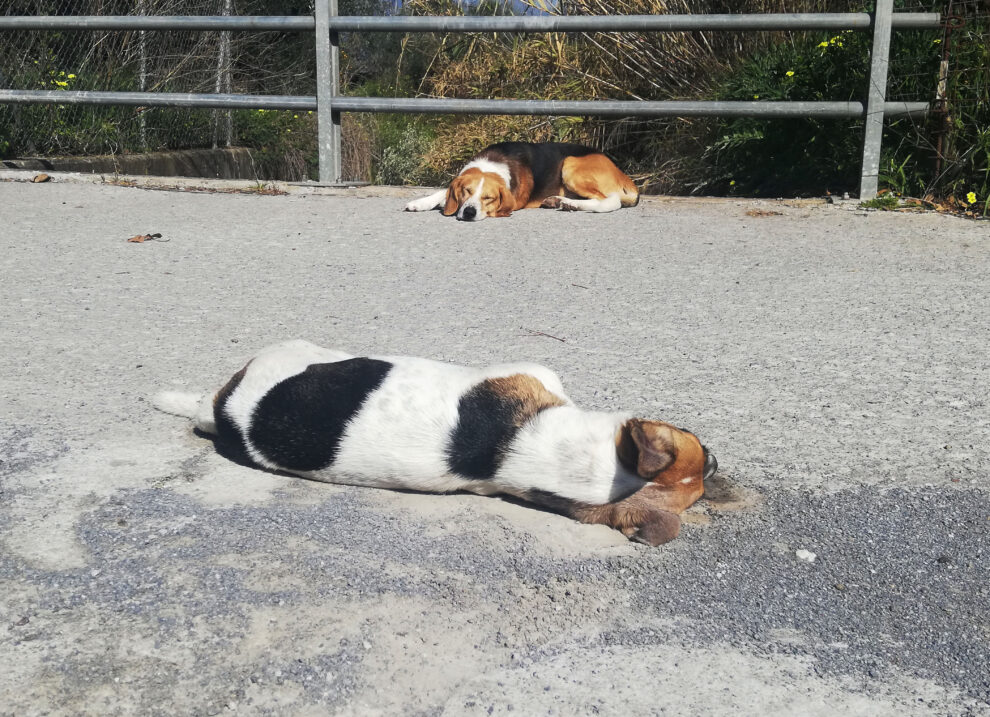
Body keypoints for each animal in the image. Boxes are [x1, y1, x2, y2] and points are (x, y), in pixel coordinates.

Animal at [406, 139, 640, 218]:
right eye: (466, 192)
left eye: (489, 198)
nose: (470, 213)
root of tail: (620, 172)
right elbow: (442, 191)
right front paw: (420, 202)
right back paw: (560, 201)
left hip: (570, 165)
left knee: (611, 201)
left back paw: (569, 204)